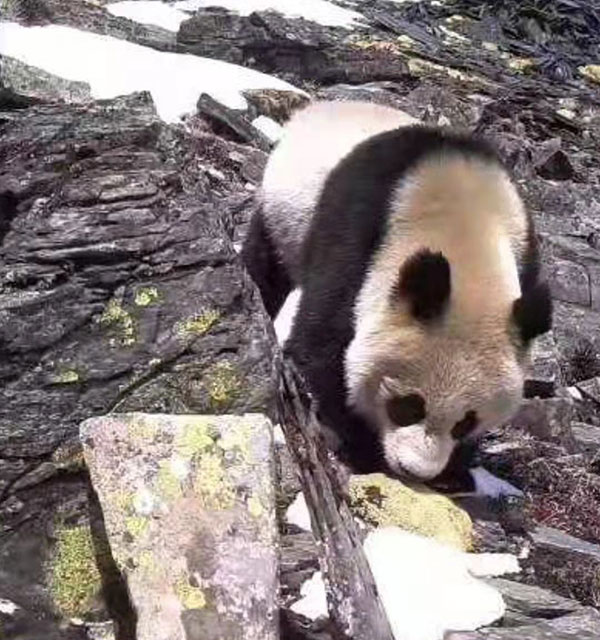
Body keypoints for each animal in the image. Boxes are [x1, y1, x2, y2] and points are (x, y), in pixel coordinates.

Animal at [241, 101, 552, 480]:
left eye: (465, 422)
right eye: (408, 406)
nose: (416, 471)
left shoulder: (523, 255)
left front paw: (456, 469)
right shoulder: (358, 235)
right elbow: (323, 343)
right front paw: (363, 447)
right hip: (281, 215)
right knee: (266, 269)